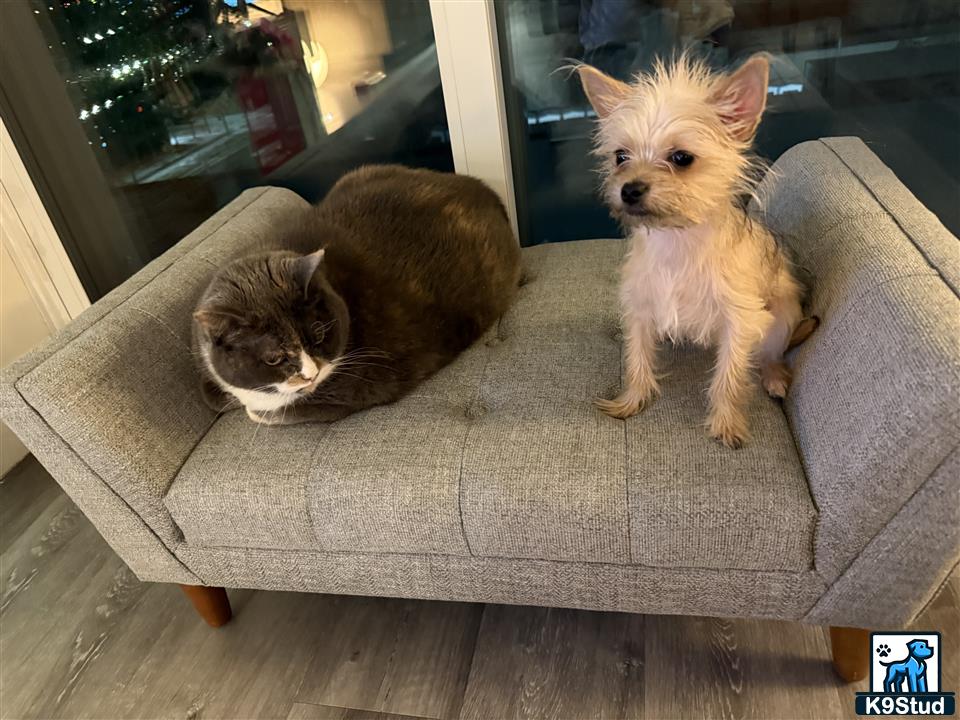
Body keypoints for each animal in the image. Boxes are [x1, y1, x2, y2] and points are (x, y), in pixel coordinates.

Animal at [194, 166, 520, 424]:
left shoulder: (361, 385)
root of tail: (484, 190)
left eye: (319, 333)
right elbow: (211, 393)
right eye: (273, 358)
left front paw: (255, 408)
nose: (311, 374)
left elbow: (271, 412)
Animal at [576, 53, 816, 448]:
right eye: (621, 156)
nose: (628, 189)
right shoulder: (639, 308)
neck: (676, 239)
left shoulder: (739, 322)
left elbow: (728, 378)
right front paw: (631, 401)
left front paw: (727, 423)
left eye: (681, 158)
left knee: (769, 353)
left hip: (781, 317)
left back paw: (773, 375)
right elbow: (637, 359)